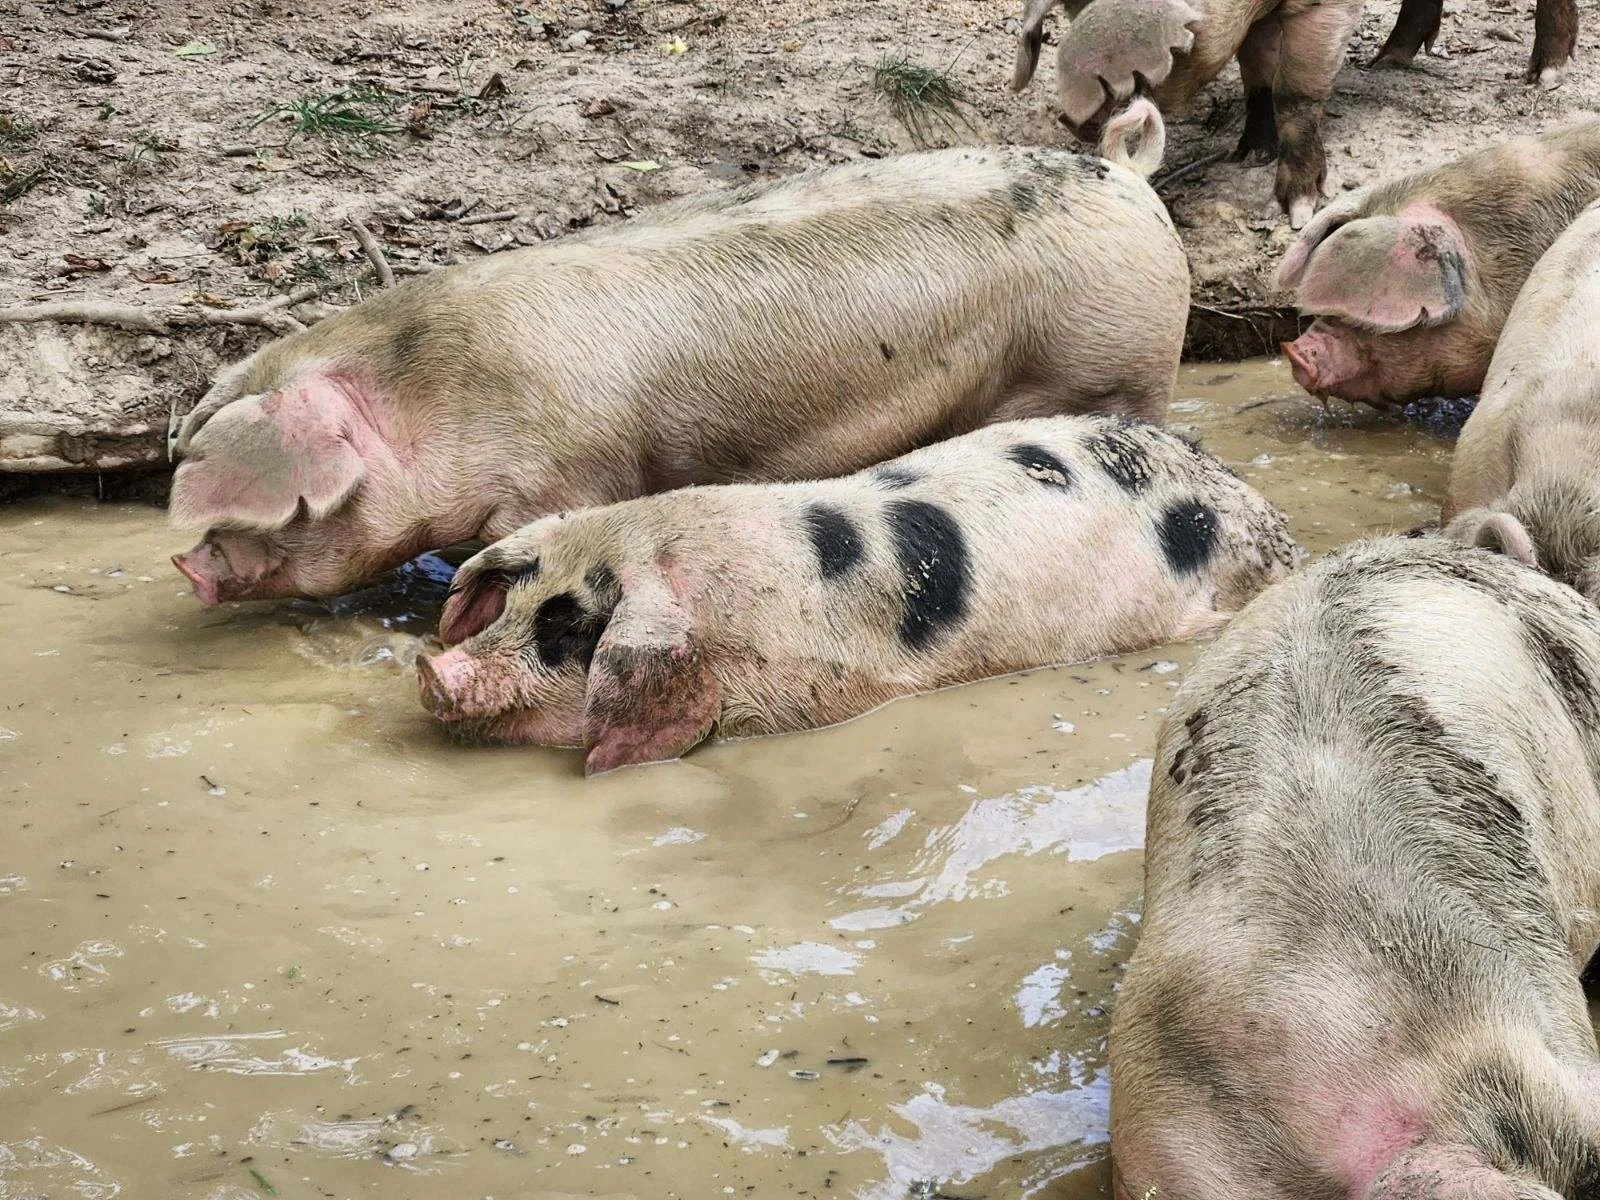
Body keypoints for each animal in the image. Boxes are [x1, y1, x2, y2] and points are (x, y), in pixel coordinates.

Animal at [1011, 0, 1366, 227]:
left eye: (1175, 50)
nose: (1070, 121)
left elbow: (1294, 91)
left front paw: (1296, 215)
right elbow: (1256, 69)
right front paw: (1248, 157)